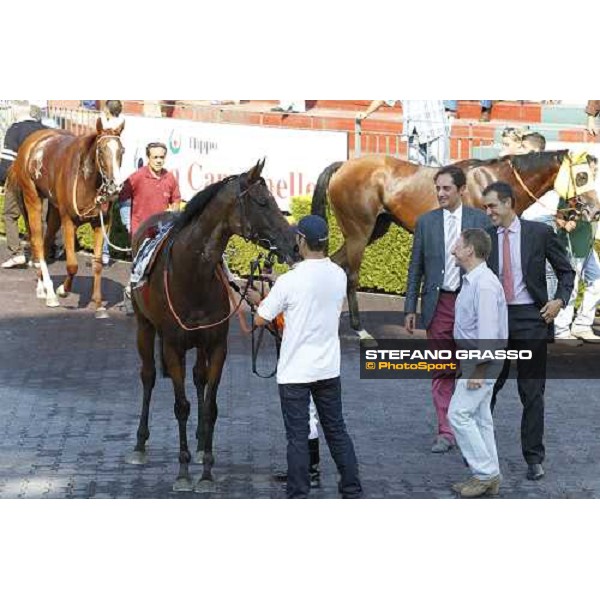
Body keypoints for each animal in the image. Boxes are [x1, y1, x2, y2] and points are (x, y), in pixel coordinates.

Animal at [9, 117, 125, 318]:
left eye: (122, 151)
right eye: (102, 150)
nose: (115, 187)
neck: (86, 180)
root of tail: (32, 142)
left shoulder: (101, 223)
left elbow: (97, 264)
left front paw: (99, 305)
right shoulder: (69, 221)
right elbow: (72, 265)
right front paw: (62, 290)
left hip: (54, 209)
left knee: (47, 241)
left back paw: (42, 287)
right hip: (33, 198)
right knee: (38, 241)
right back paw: (50, 293)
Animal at [127, 159, 296, 492]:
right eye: (262, 202)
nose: (293, 243)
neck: (192, 273)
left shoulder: (217, 345)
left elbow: (212, 406)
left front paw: (206, 470)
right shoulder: (173, 347)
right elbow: (181, 405)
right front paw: (183, 473)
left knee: (199, 379)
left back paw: (200, 440)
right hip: (144, 326)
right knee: (148, 376)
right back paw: (140, 444)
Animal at [312, 150, 600, 338]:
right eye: (582, 177)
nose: (594, 211)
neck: (495, 182)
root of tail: (343, 166)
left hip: (374, 229)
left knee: (334, 264)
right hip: (359, 231)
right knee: (351, 276)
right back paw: (360, 331)